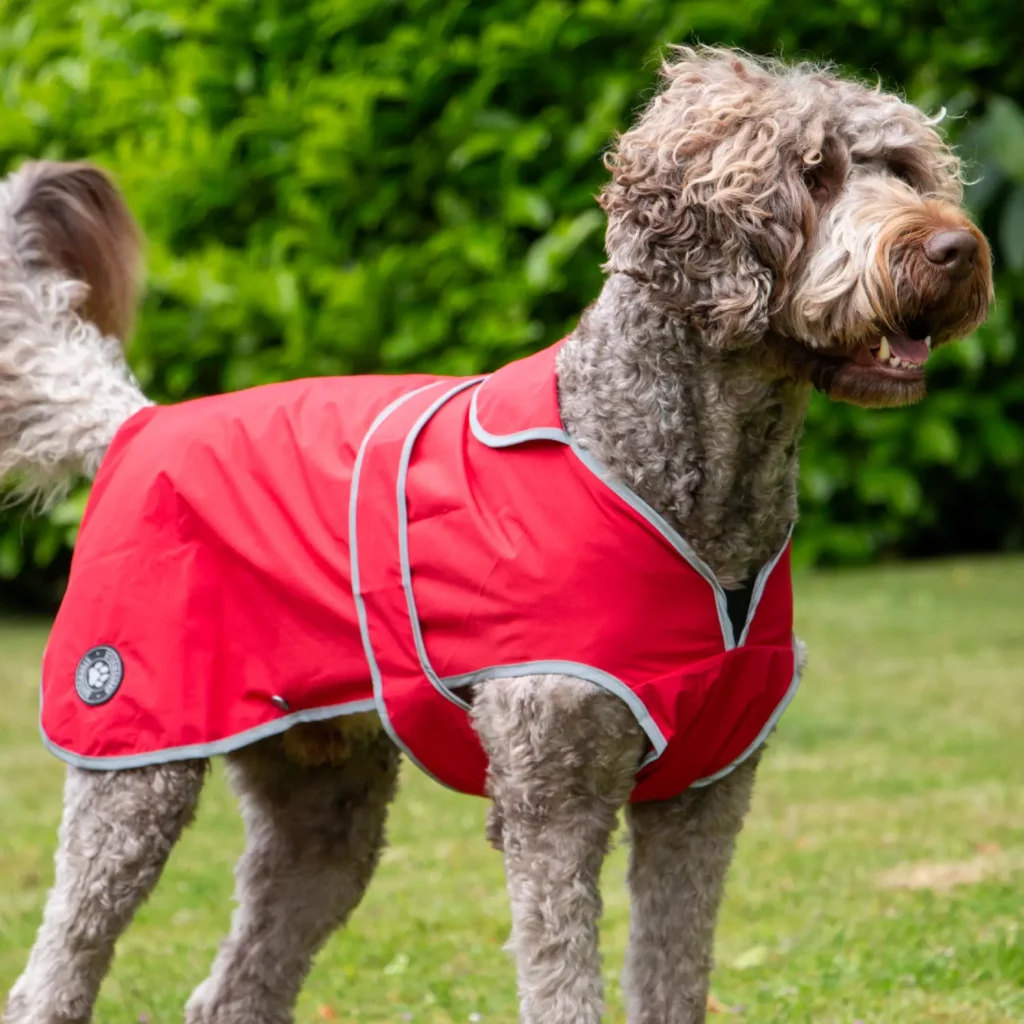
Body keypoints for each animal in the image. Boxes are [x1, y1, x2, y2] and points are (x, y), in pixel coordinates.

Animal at [0, 46, 991, 1024]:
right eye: (814, 174)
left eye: (904, 168)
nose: (956, 249)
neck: (677, 476)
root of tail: (140, 422)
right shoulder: (553, 795)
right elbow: (563, 985)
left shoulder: (706, 794)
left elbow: (673, 971)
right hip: (133, 764)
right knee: (57, 971)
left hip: (323, 806)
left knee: (234, 986)